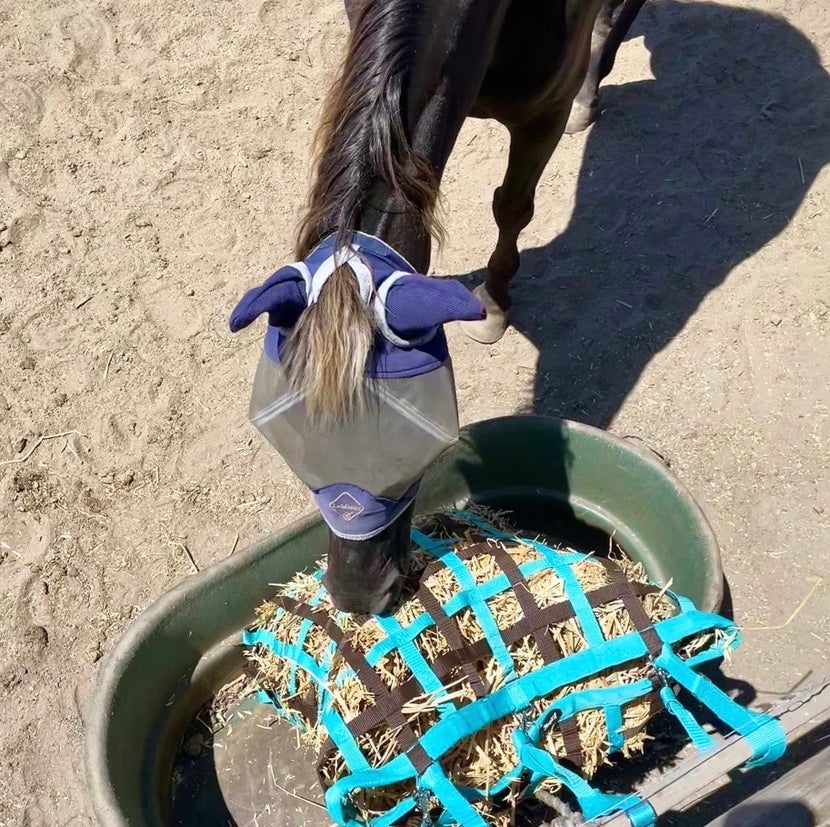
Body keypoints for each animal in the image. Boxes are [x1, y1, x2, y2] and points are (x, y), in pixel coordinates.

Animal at [232, 0, 648, 616]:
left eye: (416, 440)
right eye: (289, 436)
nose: (358, 595)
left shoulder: (540, 117)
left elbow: (512, 205)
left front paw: (494, 302)